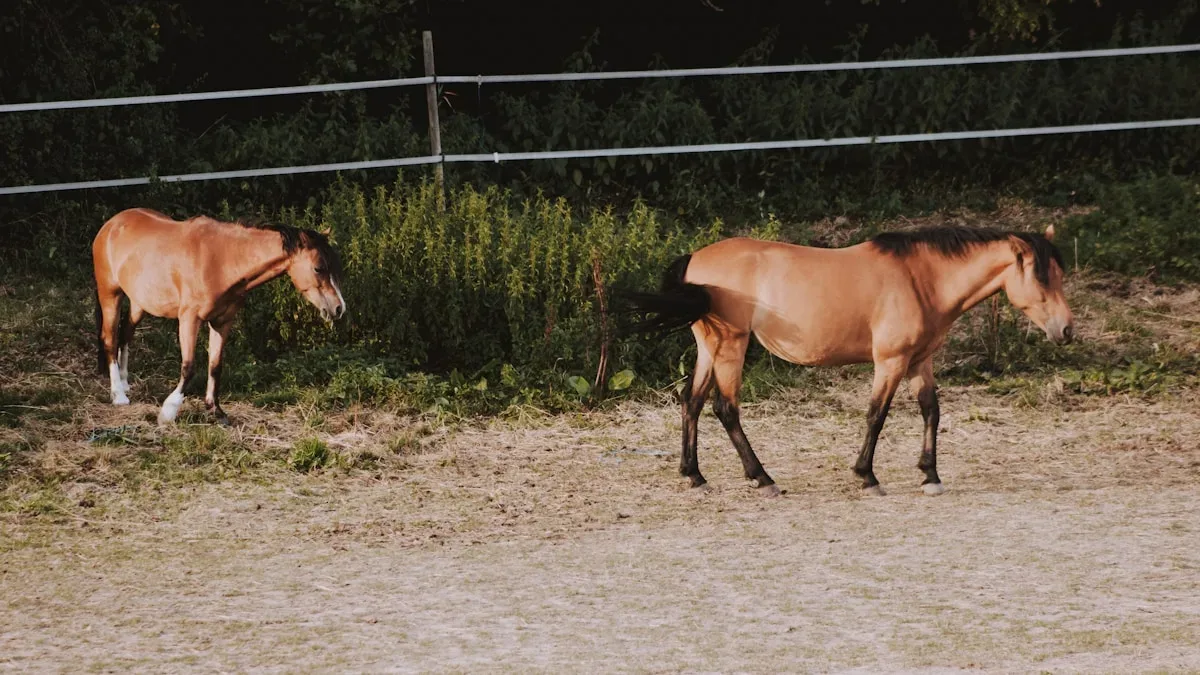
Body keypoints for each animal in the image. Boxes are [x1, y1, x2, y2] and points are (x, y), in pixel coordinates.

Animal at [92, 208, 346, 425]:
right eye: (318, 268)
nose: (338, 308)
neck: (221, 261)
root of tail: (110, 225)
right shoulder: (189, 319)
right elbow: (189, 366)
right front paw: (168, 412)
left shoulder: (222, 321)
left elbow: (215, 365)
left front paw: (216, 410)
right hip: (110, 295)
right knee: (110, 338)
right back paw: (118, 395)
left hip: (139, 302)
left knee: (126, 333)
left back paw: (125, 383)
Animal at [615, 224, 1074, 497]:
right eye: (1041, 277)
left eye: (1059, 275)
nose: (1066, 330)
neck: (920, 279)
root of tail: (694, 259)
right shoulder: (890, 361)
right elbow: (877, 415)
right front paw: (867, 476)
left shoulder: (919, 362)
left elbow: (931, 411)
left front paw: (930, 475)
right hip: (731, 348)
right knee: (725, 409)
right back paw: (762, 478)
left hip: (710, 349)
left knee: (690, 403)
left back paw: (694, 475)